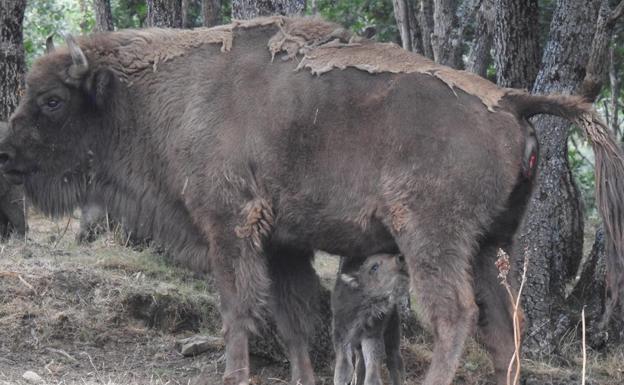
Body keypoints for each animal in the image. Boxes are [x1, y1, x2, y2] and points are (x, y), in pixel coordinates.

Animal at [332, 254, 410, 384]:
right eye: (374, 267)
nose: (400, 258)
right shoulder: (342, 335)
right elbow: (343, 369)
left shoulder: (372, 336)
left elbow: (372, 368)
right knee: (361, 365)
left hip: (392, 337)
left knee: (394, 362)